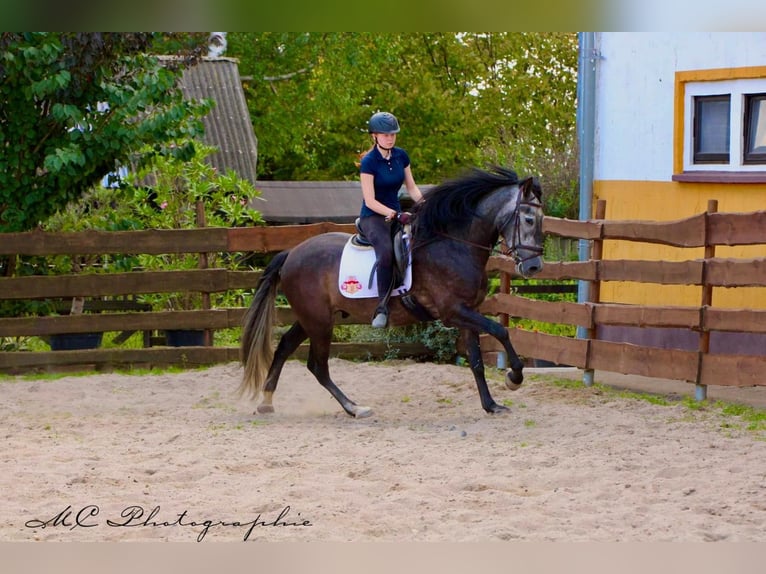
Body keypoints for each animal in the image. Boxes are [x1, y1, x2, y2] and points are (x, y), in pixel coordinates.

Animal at [239, 166, 545, 417]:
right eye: (529, 219)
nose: (534, 267)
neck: (454, 245)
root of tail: (291, 253)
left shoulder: (468, 312)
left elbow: (477, 361)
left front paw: (491, 405)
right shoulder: (453, 312)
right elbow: (501, 331)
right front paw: (514, 378)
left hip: (312, 319)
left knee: (285, 347)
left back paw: (267, 402)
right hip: (319, 321)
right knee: (318, 366)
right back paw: (354, 408)